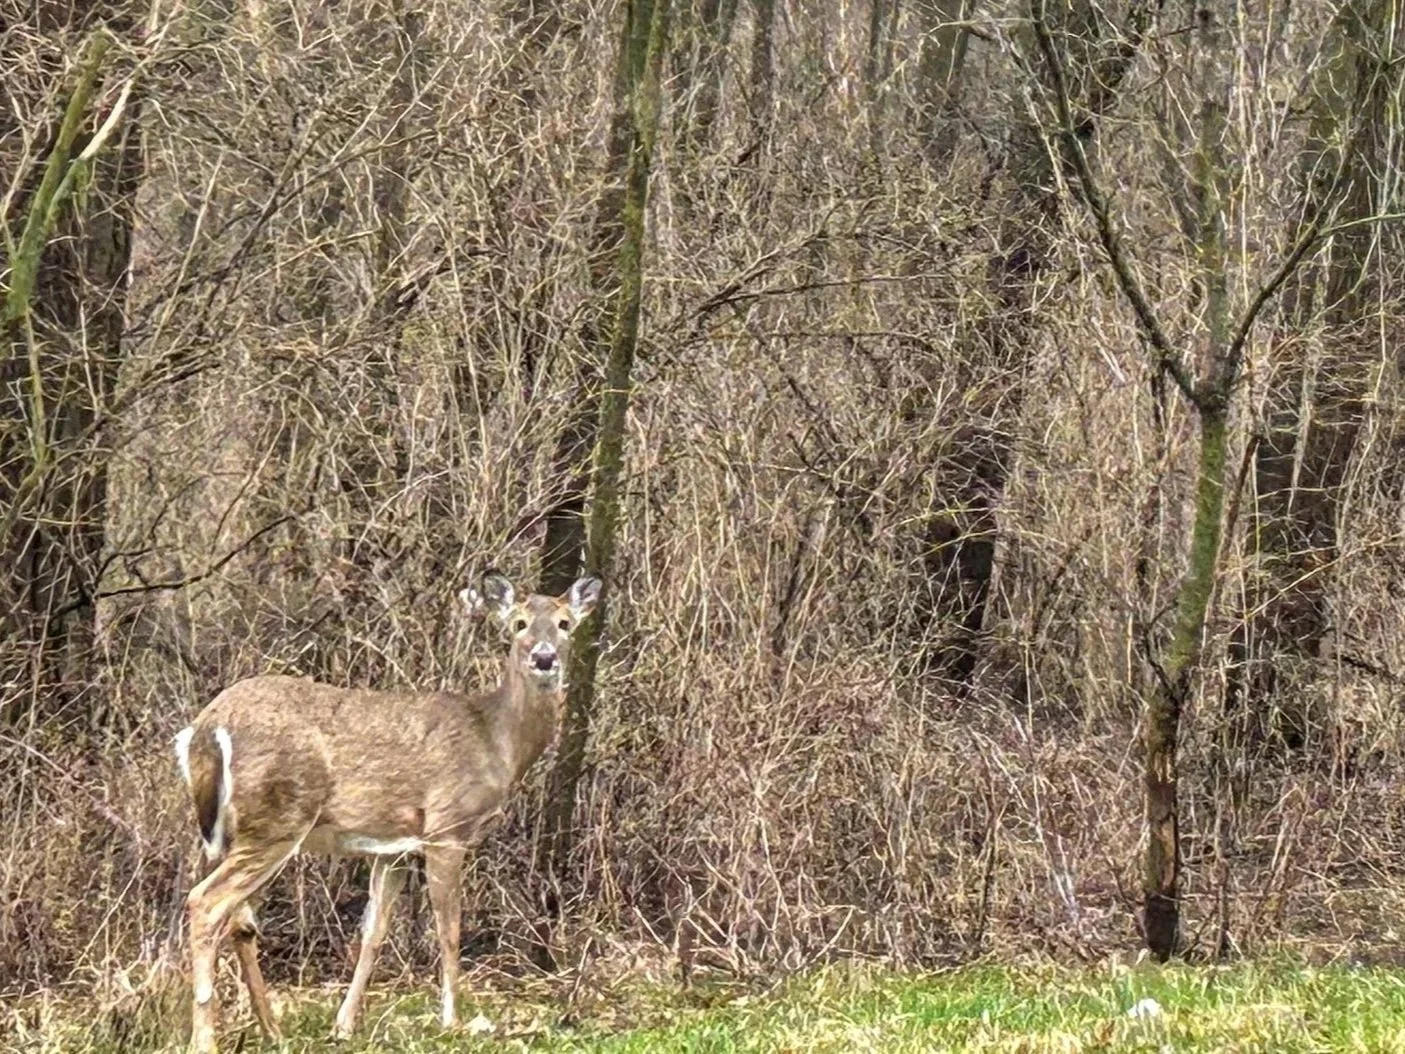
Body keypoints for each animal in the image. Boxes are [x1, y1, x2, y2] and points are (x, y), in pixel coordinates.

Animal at [172, 570, 601, 1054]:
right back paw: (205, 1038)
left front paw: (344, 1024)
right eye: (519, 623)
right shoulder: (446, 827)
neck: (496, 739)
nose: (545, 658)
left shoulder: (393, 847)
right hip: (278, 819)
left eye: (565, 623)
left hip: (235, 832)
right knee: (207, 902)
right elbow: (449, 928)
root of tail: (204, 729)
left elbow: (374, 932)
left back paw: (273, 1030)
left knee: (240, 919)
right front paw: (453, 1021)